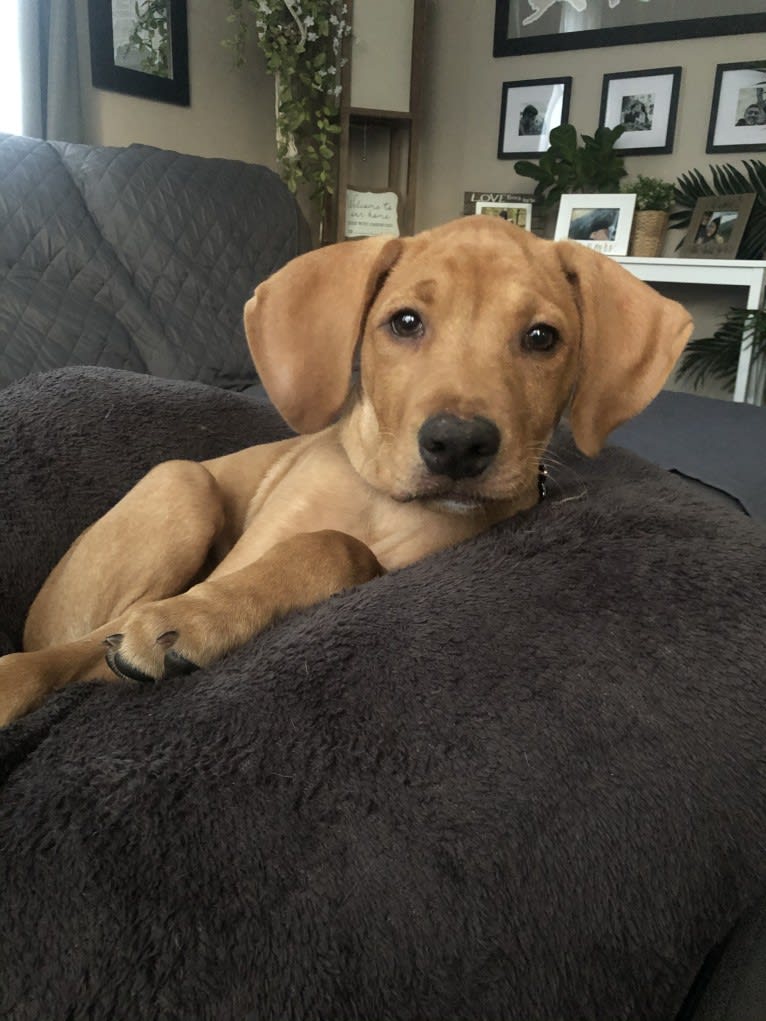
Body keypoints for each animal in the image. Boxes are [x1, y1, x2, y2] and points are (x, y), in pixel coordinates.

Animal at [0, 217, 694, 726]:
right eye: (405, 322)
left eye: (542, 338)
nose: (458, 445)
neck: (382, 501)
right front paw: (193, 616)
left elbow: (337, 548)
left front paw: (199, 622)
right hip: (183, 481)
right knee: (73, 638)